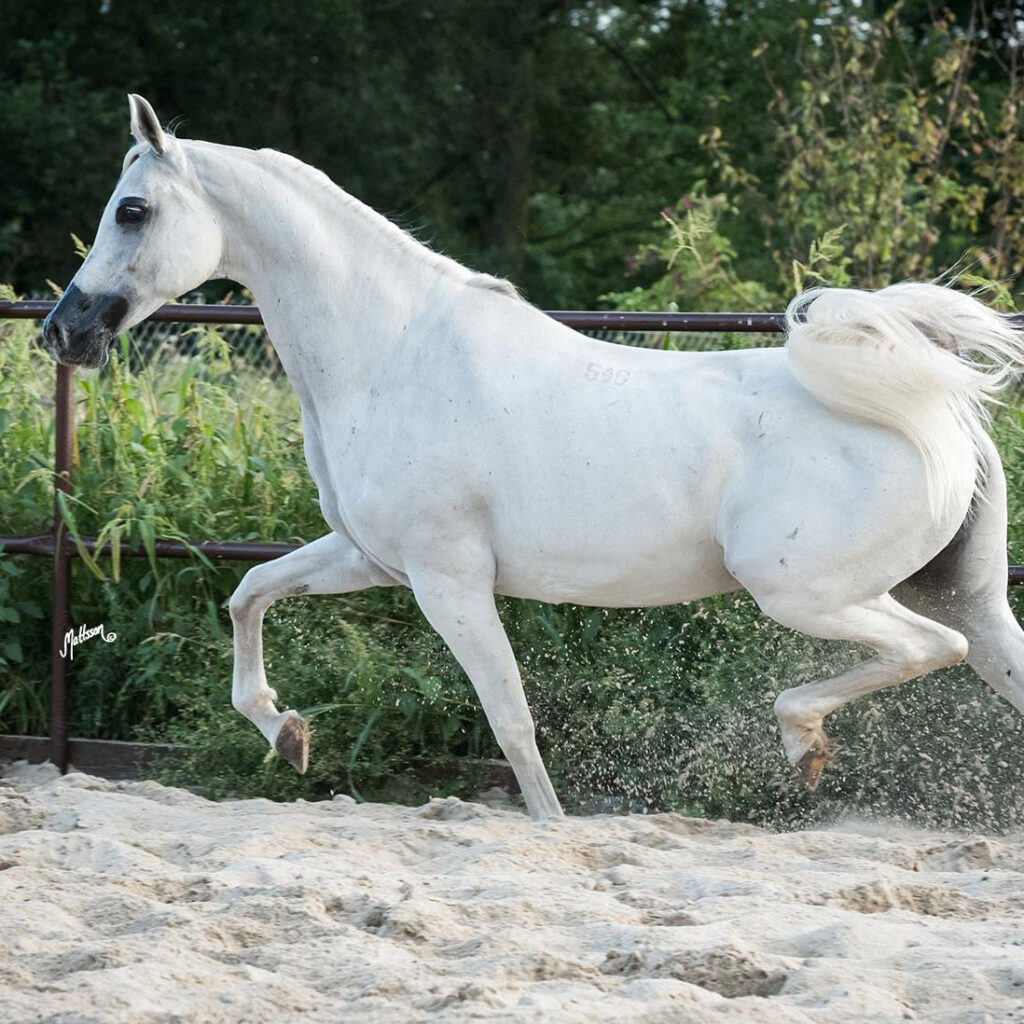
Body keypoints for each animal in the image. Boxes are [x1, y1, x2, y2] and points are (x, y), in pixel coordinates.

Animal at [42, 95, 1024, 821]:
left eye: (133, 210)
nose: (64, 331)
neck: (394, 354)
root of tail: (940, 415)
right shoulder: (372, 558)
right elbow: (249, 592)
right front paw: (286, 734)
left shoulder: (449, 579)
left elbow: (510, 719)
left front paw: (550, 826)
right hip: (966, 601)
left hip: (807, 593)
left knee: (921, 648)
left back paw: (802, 744)